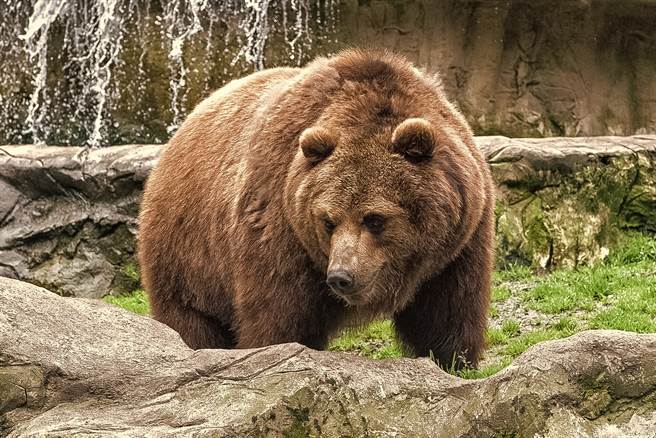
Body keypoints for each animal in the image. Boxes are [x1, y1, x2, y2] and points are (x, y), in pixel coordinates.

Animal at [138, 49, 495, 369]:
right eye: (328, 221)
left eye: (375, 219)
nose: (341, 276)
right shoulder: (282, 223)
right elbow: (278, 314)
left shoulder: (460, 239)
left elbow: (448, 312)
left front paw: (454, 362)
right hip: (188, 254)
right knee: (189, 318)